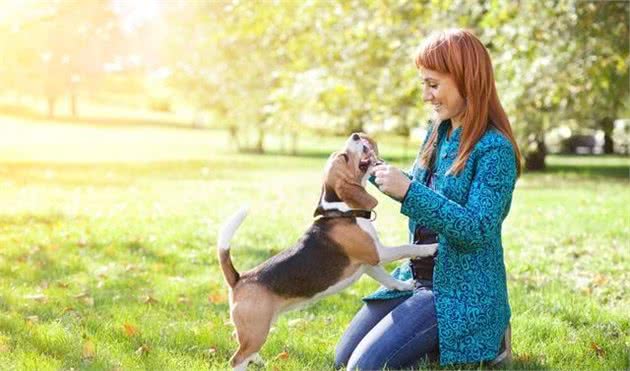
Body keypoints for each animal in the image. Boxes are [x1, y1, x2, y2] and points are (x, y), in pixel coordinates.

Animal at [217, 132, 440, 370]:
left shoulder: (369, 264)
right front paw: (430, 248)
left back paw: (258, 359)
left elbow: (388, 279)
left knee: (240, 342)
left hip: (258, 327)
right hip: (256, 329)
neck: (343, 210)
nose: (356, 134)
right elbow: (406, 248)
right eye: (344, 157)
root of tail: (239, 279)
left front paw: (404, 285)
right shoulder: (377, 253)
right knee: (237, 358)